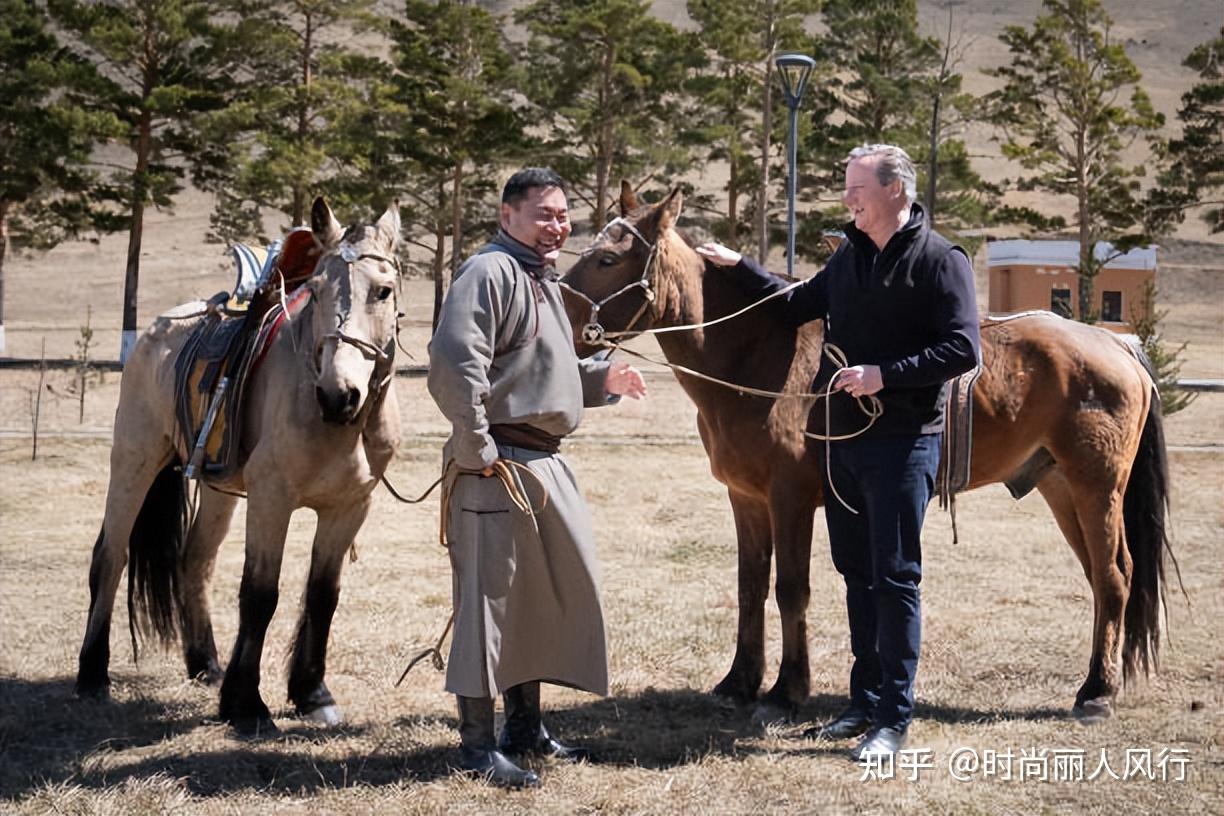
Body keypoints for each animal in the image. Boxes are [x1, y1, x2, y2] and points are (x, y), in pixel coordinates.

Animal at [76, 198, 401, 734]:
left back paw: (205, 663)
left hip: (216, 489)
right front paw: (247, 706)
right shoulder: (272, 499)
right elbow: (260, 594)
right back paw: (91, 675)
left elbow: (323, 595)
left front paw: (312, 693)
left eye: (384, 290)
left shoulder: (350, 507)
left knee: (195, 560)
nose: (339, 394)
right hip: (134, 459)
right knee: (110, 557)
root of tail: (156, 330)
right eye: (315, 290)